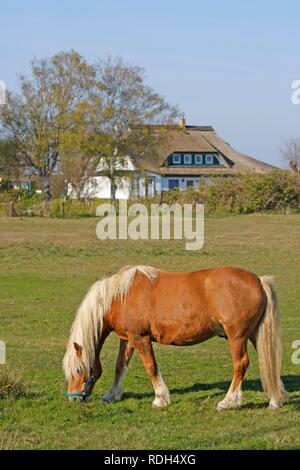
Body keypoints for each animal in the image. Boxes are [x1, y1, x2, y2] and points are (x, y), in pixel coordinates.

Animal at [62, 266, 288, 410]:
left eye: (79, 370)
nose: (73, 398)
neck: (120, 297)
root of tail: (259, 280)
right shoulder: (128, 338)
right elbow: (120, 366)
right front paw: (111, 395)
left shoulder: (140, 338)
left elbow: (151, 367)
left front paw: (160, 399)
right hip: (254, 335)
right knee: (269, 362)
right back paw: (276, 399)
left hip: (237, 336)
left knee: (240, 364)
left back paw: (228, 401)